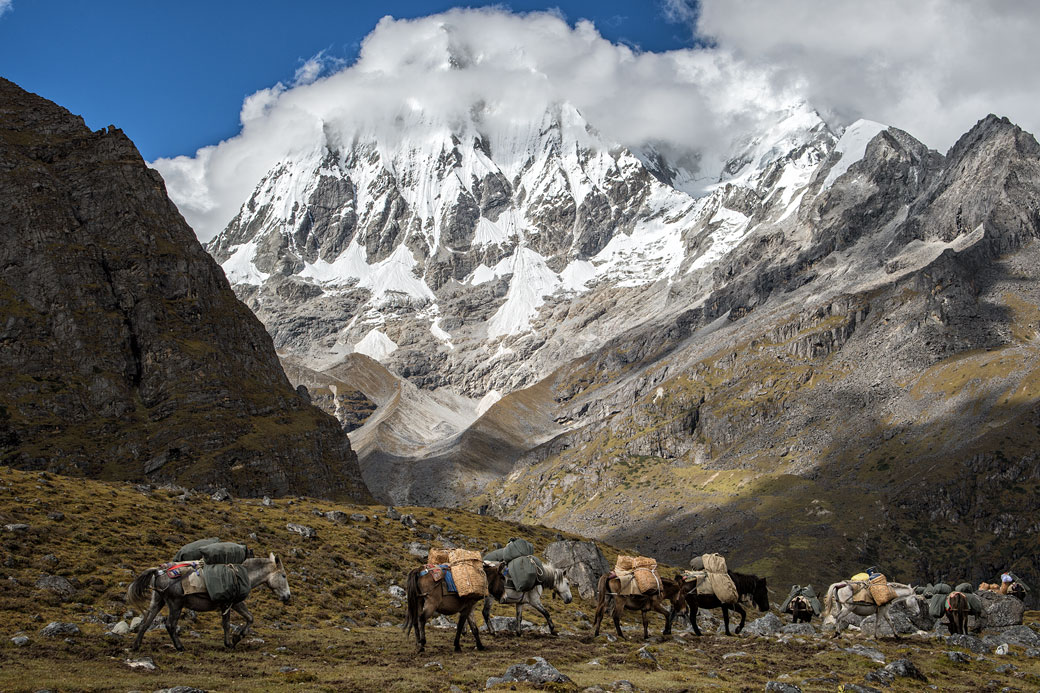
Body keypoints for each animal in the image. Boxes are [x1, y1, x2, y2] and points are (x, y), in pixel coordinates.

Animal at [126, 549, 291, 649]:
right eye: (283, 575)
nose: (287, 596)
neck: (242, 573)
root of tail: (158, 571)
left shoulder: (234, 603)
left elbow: (249, 618)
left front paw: (236, 638)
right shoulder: (230, 603)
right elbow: (228, 623)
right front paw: (231, 642)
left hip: (157, 601)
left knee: (146, 622)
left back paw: (136, 646)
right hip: (175, 604)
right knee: (170, 625)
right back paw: (180, 647)